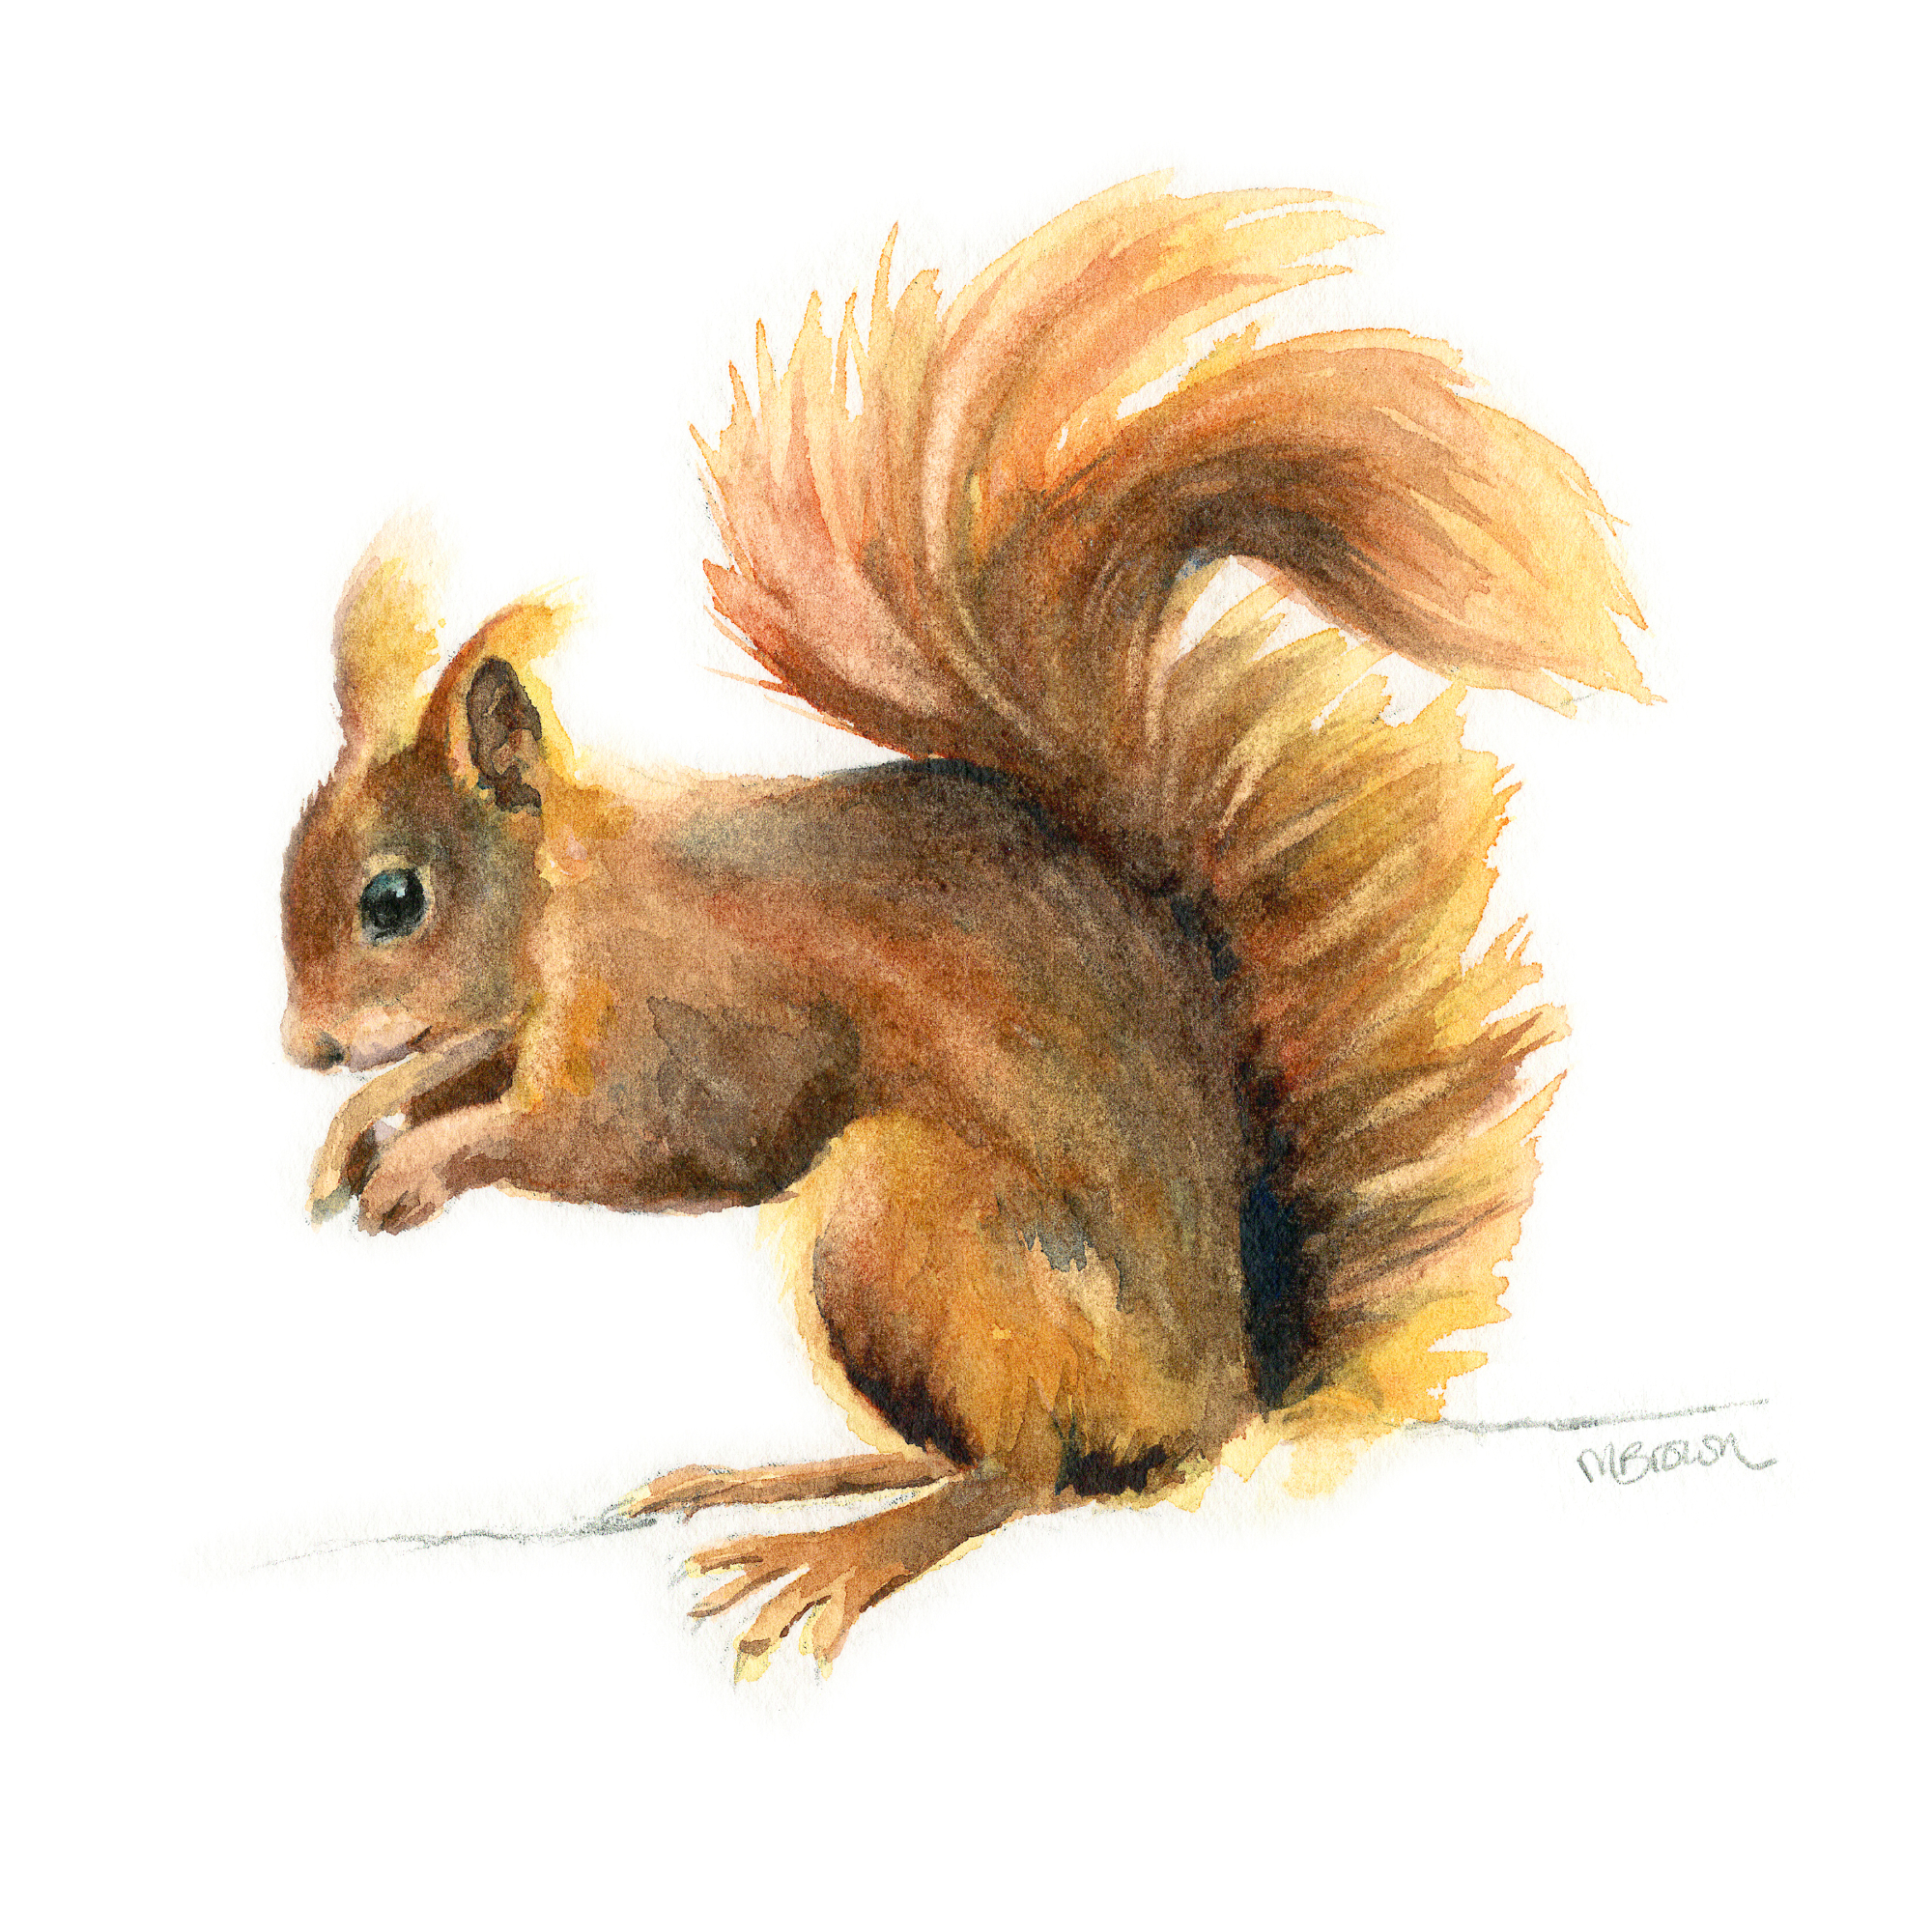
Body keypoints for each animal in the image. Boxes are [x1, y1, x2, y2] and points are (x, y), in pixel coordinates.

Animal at [281, 178, 1648, 1674]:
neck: (569, 899)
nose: (302, 1047)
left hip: (912, 1221)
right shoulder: (524, 1019)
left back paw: (845, 1552)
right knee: (959, 1452)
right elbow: (459, 1063)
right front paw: (357, 1132)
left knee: (1028, 1474)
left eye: (393, 900)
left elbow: (633, 1138)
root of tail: (1223, 1394)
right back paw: (784, 1476)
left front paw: (427, 1161)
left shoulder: (694, 1013)